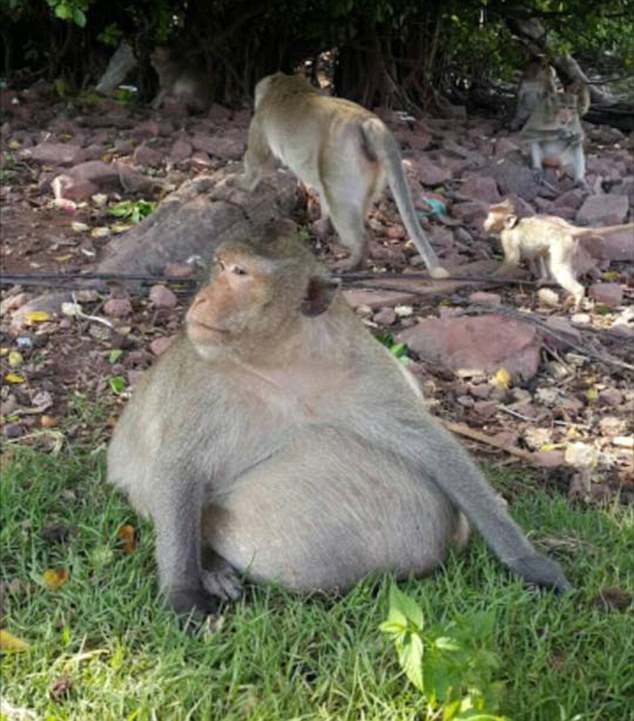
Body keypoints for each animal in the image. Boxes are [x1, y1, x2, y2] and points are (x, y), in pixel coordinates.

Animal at [107, 225, 568, 620]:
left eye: (240, 273)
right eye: (220, 266)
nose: (202, 300)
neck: (279, 360)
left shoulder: (363, 368)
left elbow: (433, 446)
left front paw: (527, 560)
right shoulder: (202, 383)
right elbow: (177, 470)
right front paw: (183, 591)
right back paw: (212, 566)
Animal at [233, 71, 450, 278]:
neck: (289, 86)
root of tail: (369, 122)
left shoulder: (260, 121)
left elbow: (258, 160)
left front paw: (239, 183)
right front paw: (321, 221)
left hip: (342, 158)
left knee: (339, 201)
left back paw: (354, 258)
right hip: (372, 168)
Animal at [482, 197, 628, 306]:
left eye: (491, 217)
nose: (485, 224)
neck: (513, 225)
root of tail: (566, 229)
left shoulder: (507, 236)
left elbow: (513, 258)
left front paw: (492, 276)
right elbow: (537, 255)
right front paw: (541, 278)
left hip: (563, 245)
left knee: (558, 268)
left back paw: (578, 293)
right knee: (547, 256)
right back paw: (550, 281)